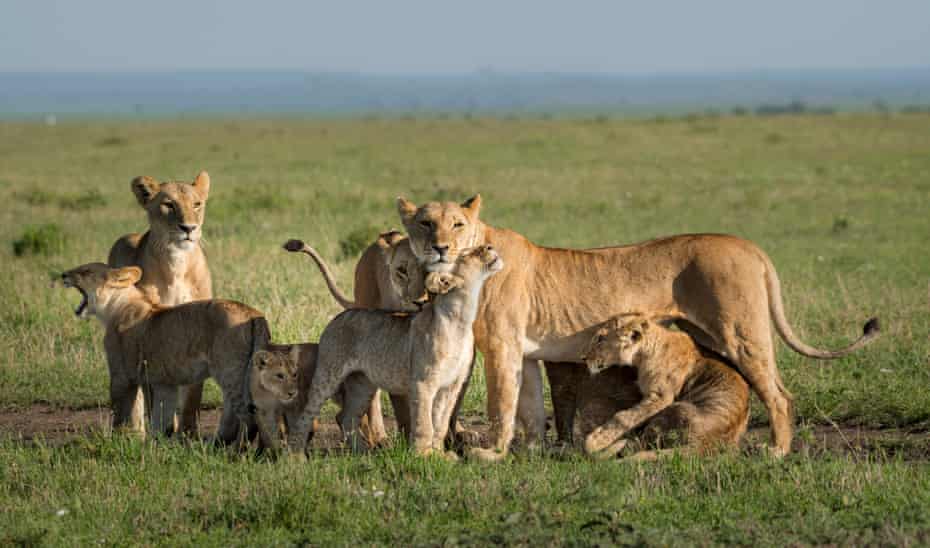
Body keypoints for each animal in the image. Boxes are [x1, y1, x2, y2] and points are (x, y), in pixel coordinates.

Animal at [108, 169, 213, 434]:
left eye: (197, 204)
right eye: (169, 205)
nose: (189, 228)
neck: (177, 263)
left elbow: (193, 394)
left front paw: (188, 433)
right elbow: (157, 395)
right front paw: (166, 431)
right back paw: (135, 430)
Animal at [394, 195, 876, 460]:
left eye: (457, 224)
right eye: (424, 223)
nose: (439, 247)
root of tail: (749, 245)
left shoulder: (501, 347)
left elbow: (501, 405)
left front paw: (491, 453)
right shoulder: (524, 353)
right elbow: (528, 408)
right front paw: (527, 454)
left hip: (741, 333)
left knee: (779, 394)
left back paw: (776, 451)